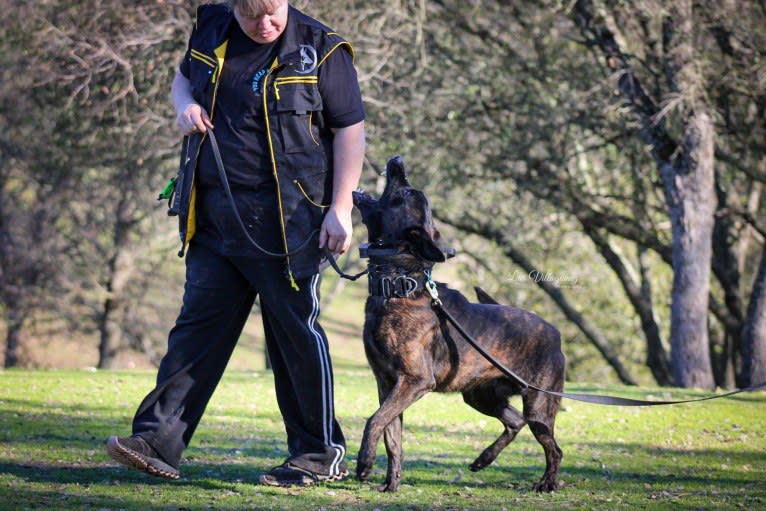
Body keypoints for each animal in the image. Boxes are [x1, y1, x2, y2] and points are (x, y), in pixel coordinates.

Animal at [356, 155, 568, 492]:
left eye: (406, 193)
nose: (398, 160)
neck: (398, 285)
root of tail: (555, 333)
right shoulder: (387, 383)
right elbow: (392, 437)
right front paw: (392, 483)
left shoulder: (414, 381)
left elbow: (374, 420)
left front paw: (364, 464)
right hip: (479, 396)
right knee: (515, 421)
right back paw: (483, 459)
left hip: (539, 405)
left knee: (552, 447)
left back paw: (547, 483)